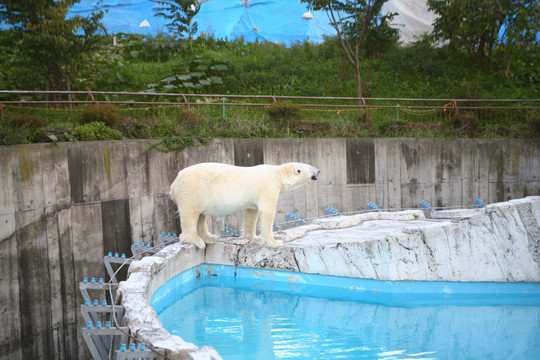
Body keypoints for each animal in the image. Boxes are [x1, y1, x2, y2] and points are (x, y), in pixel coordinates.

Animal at [171, 162, 318, 249]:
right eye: (311, 167)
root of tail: (174, 183)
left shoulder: (254, 197)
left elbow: (252, 213)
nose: (319, 171)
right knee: (190, 213)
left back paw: (210, 237)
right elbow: (267, 211)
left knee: (201, 215)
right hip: (192, 191)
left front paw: (254, 238)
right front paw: (274, 242)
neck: (277, 173)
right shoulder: (268, 186)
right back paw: (196, 241)